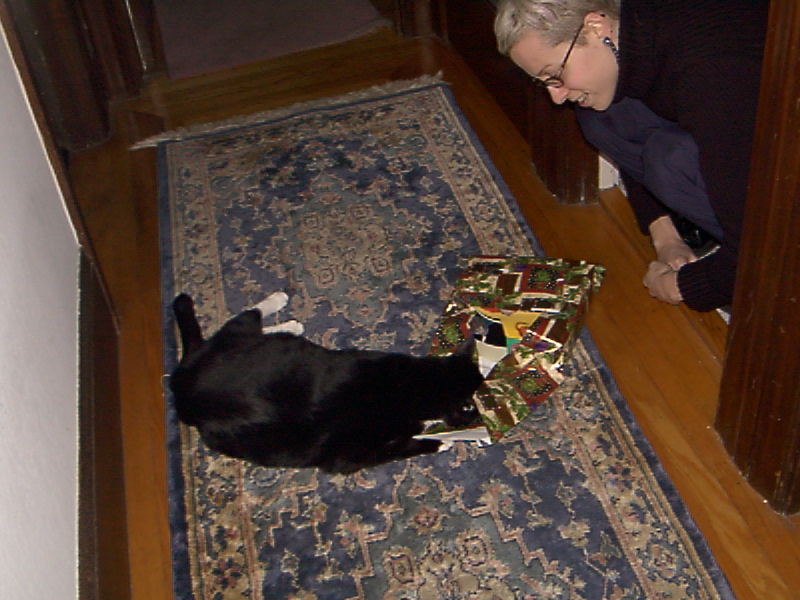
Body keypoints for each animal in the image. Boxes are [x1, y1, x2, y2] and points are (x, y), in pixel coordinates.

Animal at [169, 292, 483, 474]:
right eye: (473, 405)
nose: (482, 418)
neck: (409, 384)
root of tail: (182, 376)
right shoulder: (350, 457)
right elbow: (403, 448)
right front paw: (440, 441)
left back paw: (290, 323)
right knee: (247, 314)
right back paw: (278, 302)